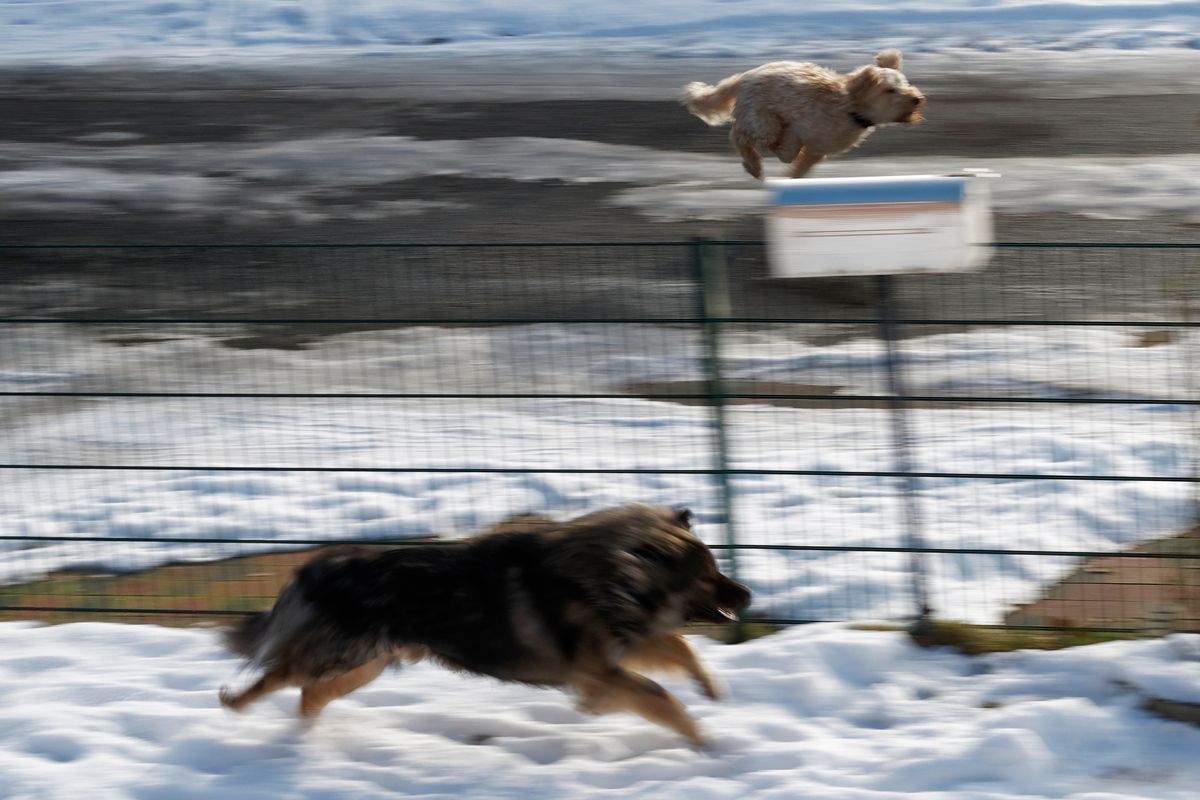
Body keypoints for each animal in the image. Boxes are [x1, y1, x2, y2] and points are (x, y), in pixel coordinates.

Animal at [686, 51, 926, 179]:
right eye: (890, 90)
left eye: (905, 83)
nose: (916, 98)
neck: (850, 108)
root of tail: (746, 75)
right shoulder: (803, 127)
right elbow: (787, 150)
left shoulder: (817, 149)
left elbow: (799, 164)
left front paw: (791, 179)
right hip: (763, 122)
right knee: (739, 134)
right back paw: (754, 166)